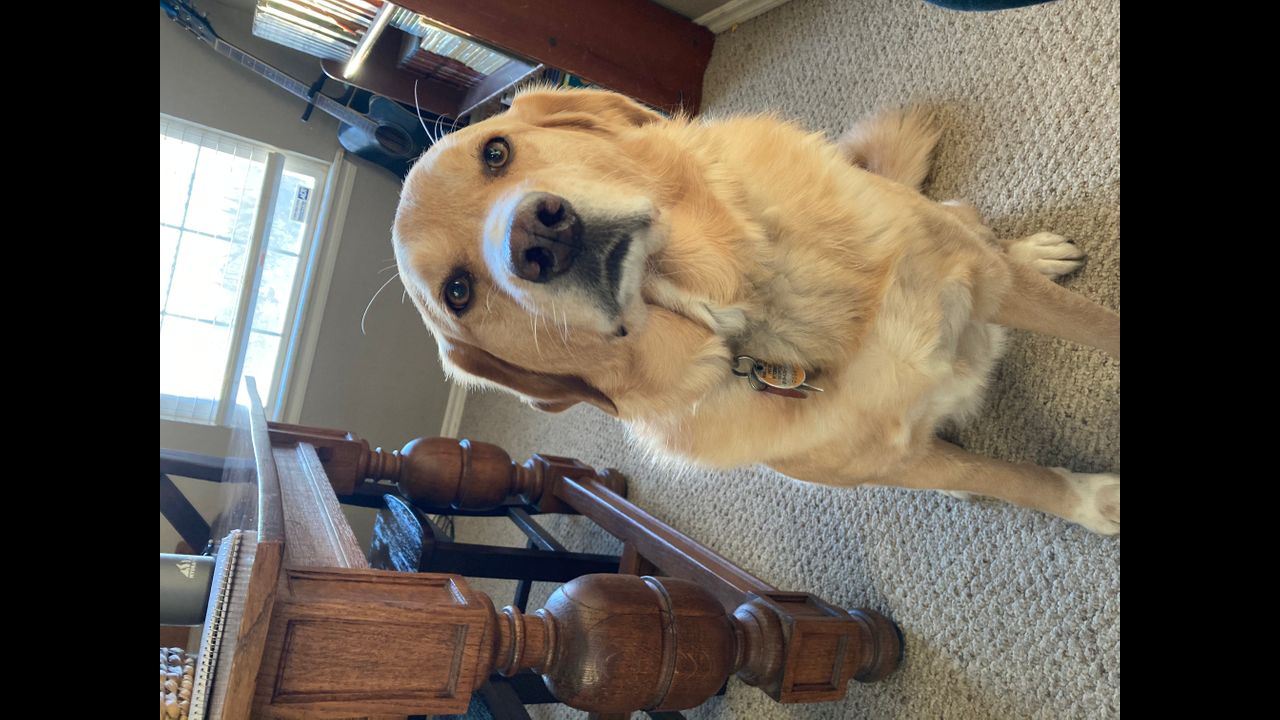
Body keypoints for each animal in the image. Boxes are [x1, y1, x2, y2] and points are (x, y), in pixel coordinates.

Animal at [392, 88, 1120, 534]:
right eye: (459, 291)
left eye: (495, 152)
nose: (535, 241)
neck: (752, 299)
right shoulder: (895, 456)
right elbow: (1016, 479)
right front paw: (1093, 501)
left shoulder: (986, 284)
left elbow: (1095, 325)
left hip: (969, 252)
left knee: (975, 230)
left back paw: (1031, 252)